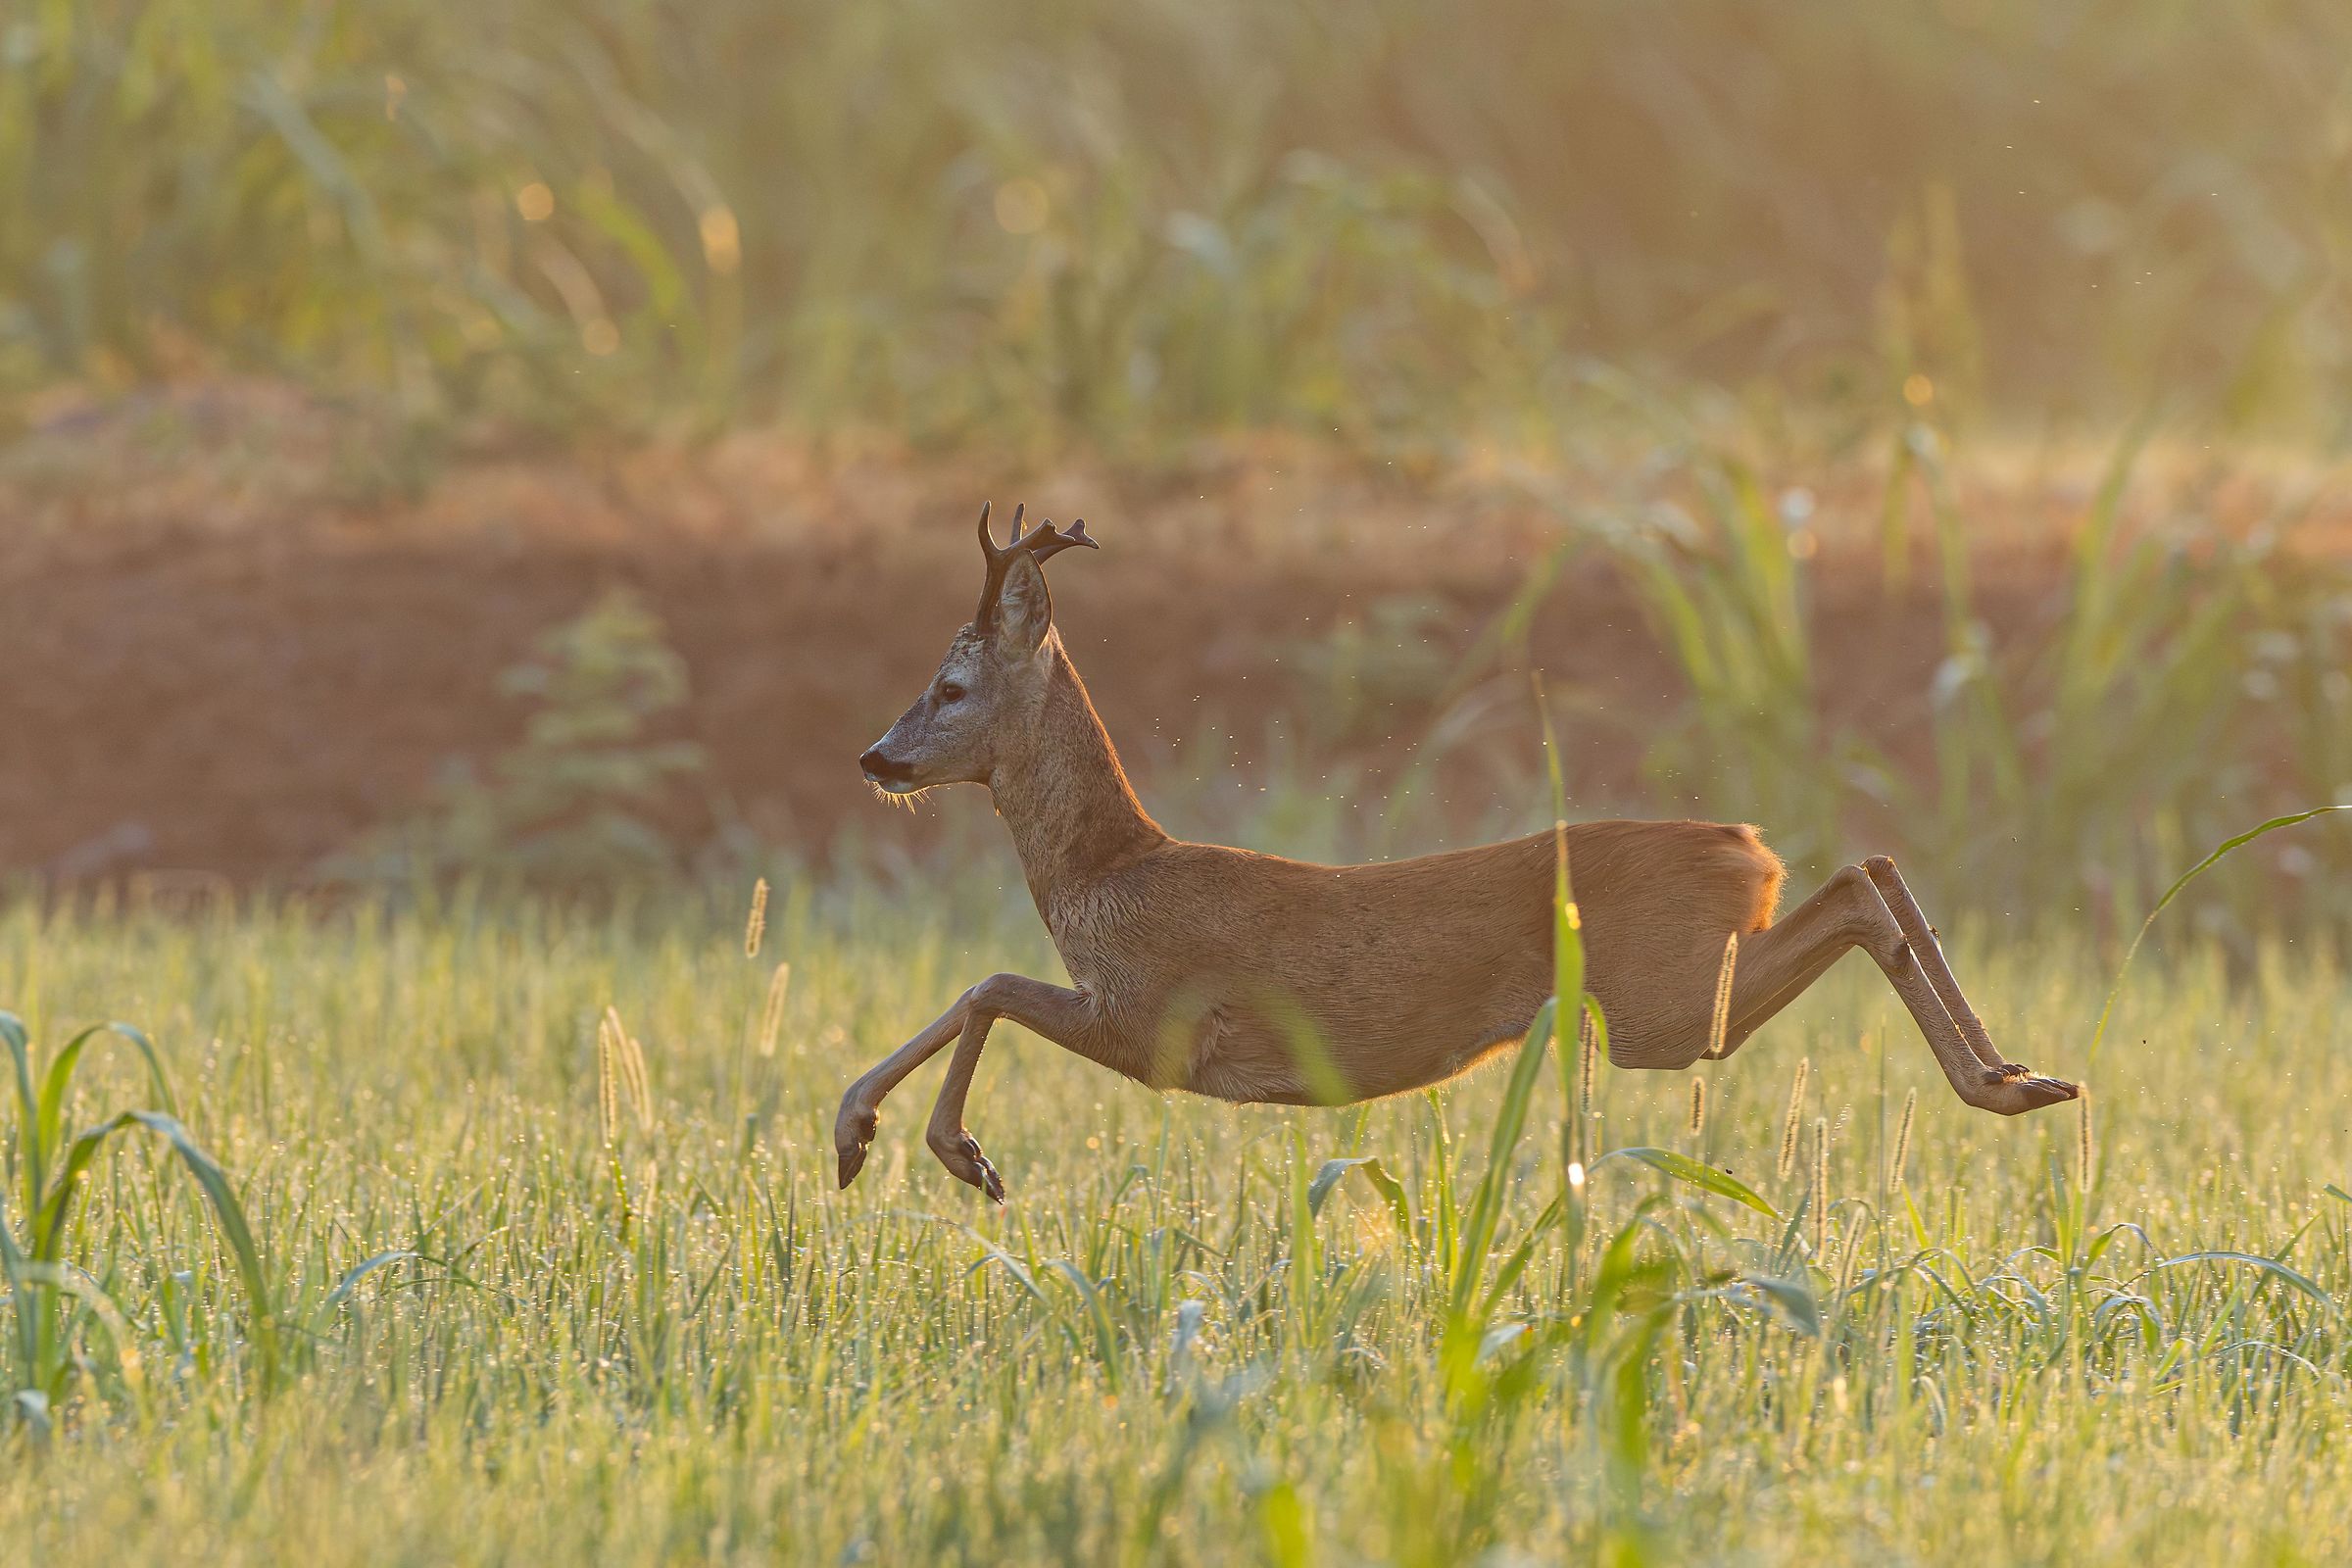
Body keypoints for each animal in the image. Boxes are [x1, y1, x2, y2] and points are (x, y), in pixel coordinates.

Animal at [836, 505, 2080, 1200]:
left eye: (951, 686)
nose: (873, 756)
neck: (1105, 871)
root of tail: (1749, 849)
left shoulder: (1156, 1024)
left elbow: (988, 984)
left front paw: (924, 1146)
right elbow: (983, 988)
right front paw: (877, 1138)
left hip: (1660, 1003)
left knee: (1853, 890)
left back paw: (2008, 1084)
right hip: (1678, 988)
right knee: (1873, 871)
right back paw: (2023, 1076)